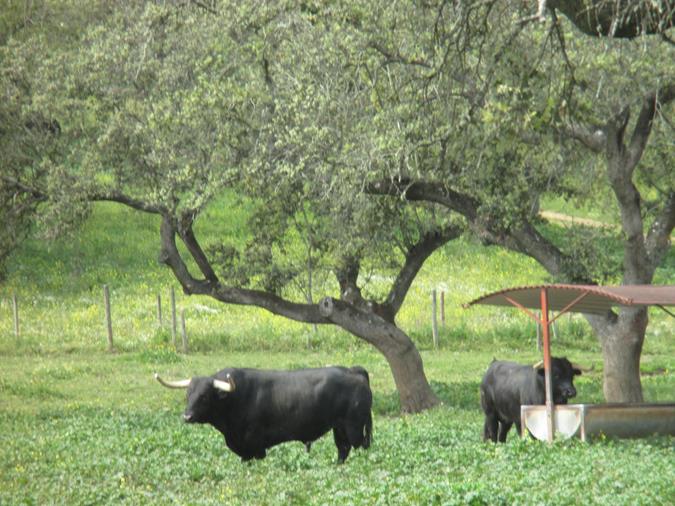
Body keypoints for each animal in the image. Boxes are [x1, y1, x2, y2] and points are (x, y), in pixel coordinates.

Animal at [156, 364, 372, 462]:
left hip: (354, 427)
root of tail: (352, 371)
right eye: (188, 395)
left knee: (359, 447)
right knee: (343, 449)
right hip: (339, 428)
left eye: (204, 396)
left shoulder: (256, 447)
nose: (187, 416)